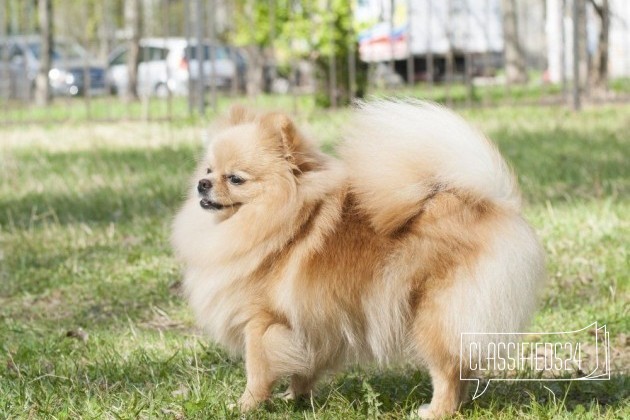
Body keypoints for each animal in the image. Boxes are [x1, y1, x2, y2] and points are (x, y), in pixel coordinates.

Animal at [173, 100, 548, 418]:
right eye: (208, 169)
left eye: (235, 178)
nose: (203, 184)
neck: (281, 219)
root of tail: (493, 203)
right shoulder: (309, 322)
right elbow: (303, 368)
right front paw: (295, 399)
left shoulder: (262, 322)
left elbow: (257, 370)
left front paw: (245, 406)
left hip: (435, 315)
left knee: (448, 369)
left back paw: (437, 410)